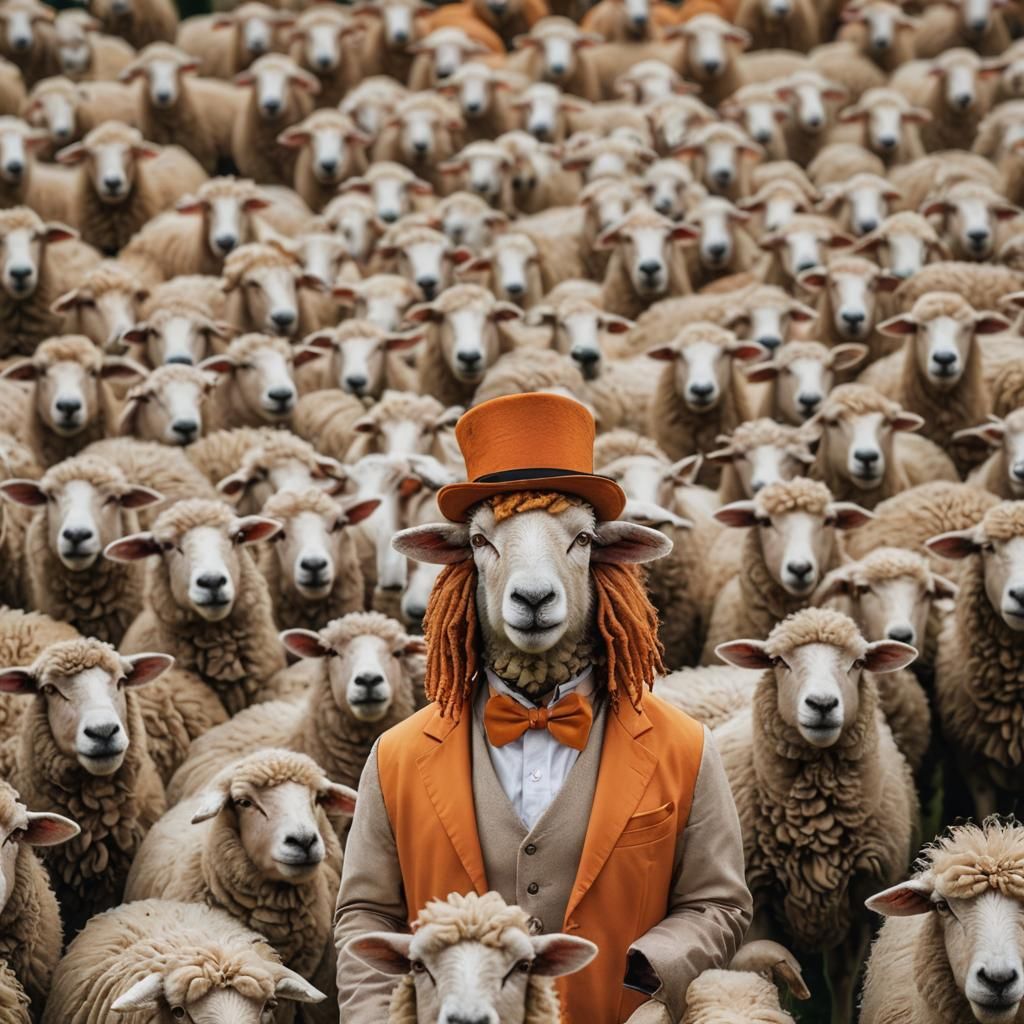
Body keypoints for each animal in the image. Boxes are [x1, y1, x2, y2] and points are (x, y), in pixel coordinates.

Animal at [712, 607, 918, 1024]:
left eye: (858, 663)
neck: (815, 821)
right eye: (779, 662)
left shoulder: (859, 901)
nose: (822, 704)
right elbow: (775, 975)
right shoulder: (758, 900)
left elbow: (841, 977)